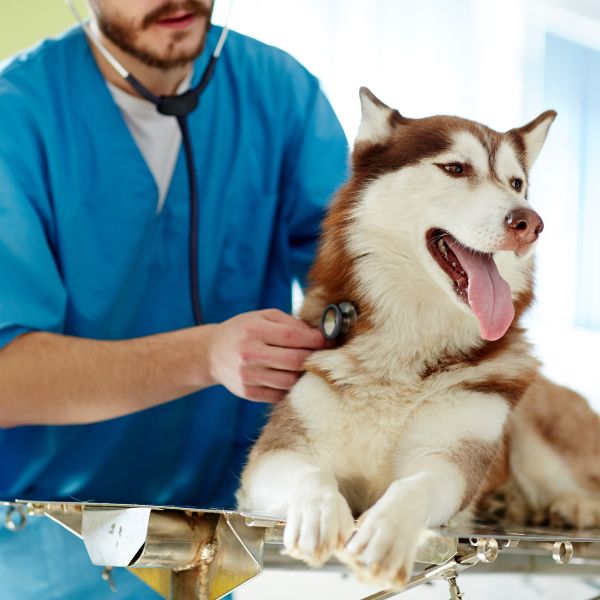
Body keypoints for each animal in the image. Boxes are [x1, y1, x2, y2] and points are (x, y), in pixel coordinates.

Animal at [237, 88, 600, 584]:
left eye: (516, 183)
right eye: (456, 168)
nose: (530, 222)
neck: (408, 348)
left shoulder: (450, 460)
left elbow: (416, 485)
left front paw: (386, 530)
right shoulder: (274, 456)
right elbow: (312, 477)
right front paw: (317, 512)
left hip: (536, 437)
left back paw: (570, 505)